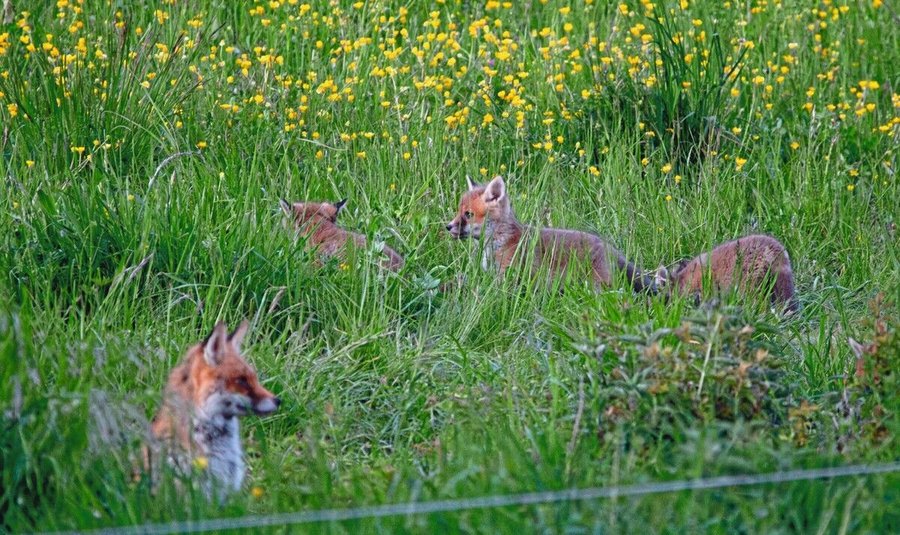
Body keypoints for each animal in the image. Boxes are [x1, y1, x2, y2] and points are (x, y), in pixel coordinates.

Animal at [446, 175, 653, 292]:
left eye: (468, 215)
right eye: (458, 211)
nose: (448, 227)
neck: (498, 241)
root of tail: (611, 249)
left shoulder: (508, 277)